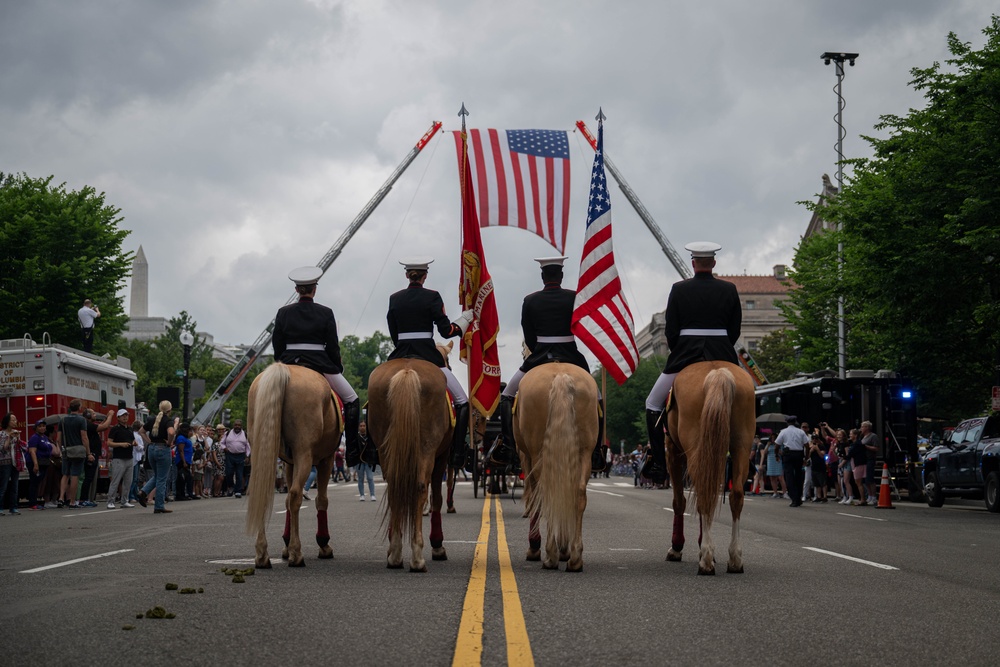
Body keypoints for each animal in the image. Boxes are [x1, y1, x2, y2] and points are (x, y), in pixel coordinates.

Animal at [245, 366, 344, 568]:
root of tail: (282, 369)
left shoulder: (289, 463)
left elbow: (285, 501)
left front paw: (285, 544)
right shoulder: (326, 459)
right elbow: (322, 500)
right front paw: (323, 544)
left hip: (262, 452)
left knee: (263, 493)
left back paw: (262, 554)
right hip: (304, 454)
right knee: (296, 495)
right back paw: (297, 554)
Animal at [368, 358, 454, 572]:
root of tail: (407, 371)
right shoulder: (441, 457)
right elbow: (436, 498)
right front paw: (438, 547)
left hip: (385, 449)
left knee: (394, 490)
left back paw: (395, 554)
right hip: (427, 449)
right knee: (420, 489)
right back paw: (417, 557)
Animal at [516, 362, 592, 572]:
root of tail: (561, 374)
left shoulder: (528, 459)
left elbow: (535, 499)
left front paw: (535, 548)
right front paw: (564, 548)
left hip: (537, 455)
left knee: (547, 495)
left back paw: (550, 555)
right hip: (585, 453)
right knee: (577, 494)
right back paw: (575, 557)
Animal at [668, 360, 752, 576]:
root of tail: (717, 373)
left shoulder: (672, 451)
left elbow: (678, 501)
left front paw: (677, 548)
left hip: (695, 447)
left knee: (704, 495)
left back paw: (706, 559)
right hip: (742, 446)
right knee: (736, 495)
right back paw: (735, 559)